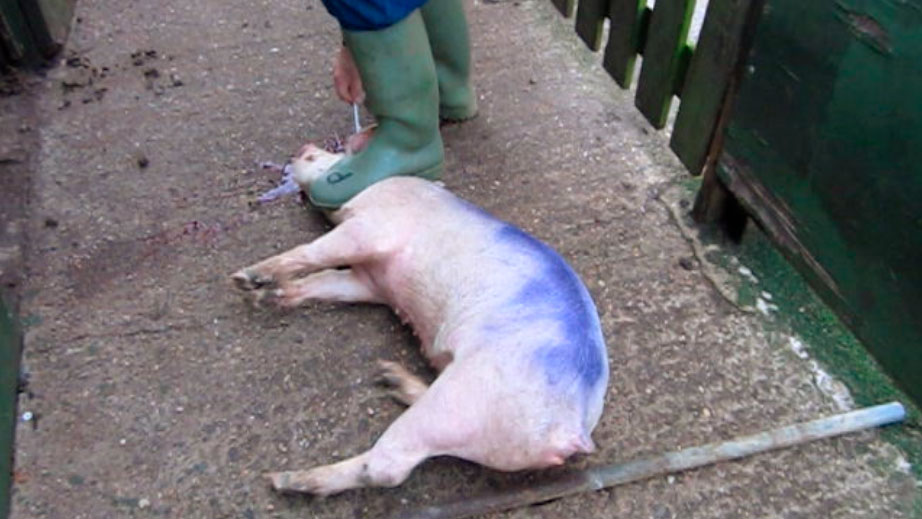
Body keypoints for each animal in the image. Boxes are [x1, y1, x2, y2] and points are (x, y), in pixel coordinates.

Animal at [231, 141, 610, 496]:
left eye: (325, 156)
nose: (302, 148)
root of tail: (572, 428)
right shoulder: (369, 282)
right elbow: (324, 282)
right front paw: (264, 296)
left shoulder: (372, 229)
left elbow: (313, 252)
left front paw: (243, 278)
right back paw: (389, 376)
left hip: (467, 397)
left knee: (387, 468)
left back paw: (285, 479)